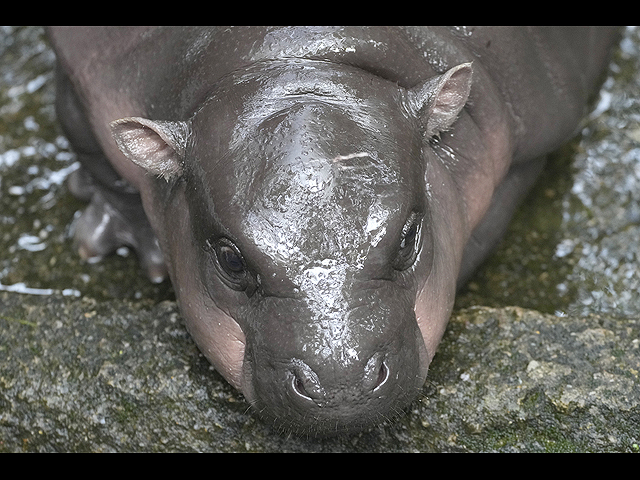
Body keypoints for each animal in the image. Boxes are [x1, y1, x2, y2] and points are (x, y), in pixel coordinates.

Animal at [47, 28, 616, 436]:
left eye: (408, 237)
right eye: (231, 260)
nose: (341, 384)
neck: (294, 57)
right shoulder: (88, 77)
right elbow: (88, 142)